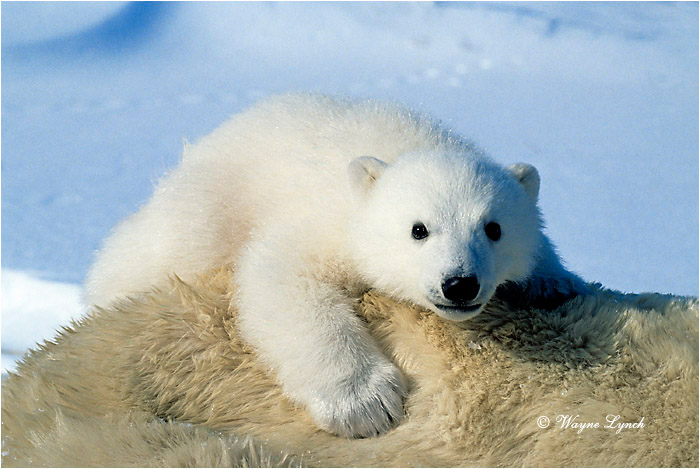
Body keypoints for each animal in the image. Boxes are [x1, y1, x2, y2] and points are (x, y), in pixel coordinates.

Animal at [85, 93, 586, 438]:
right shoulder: (325, 224)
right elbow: (283, 279)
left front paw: (553, 281)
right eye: (418, 229)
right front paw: (364, 402)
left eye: (494, 228)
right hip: (206, 208)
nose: (459, 284)